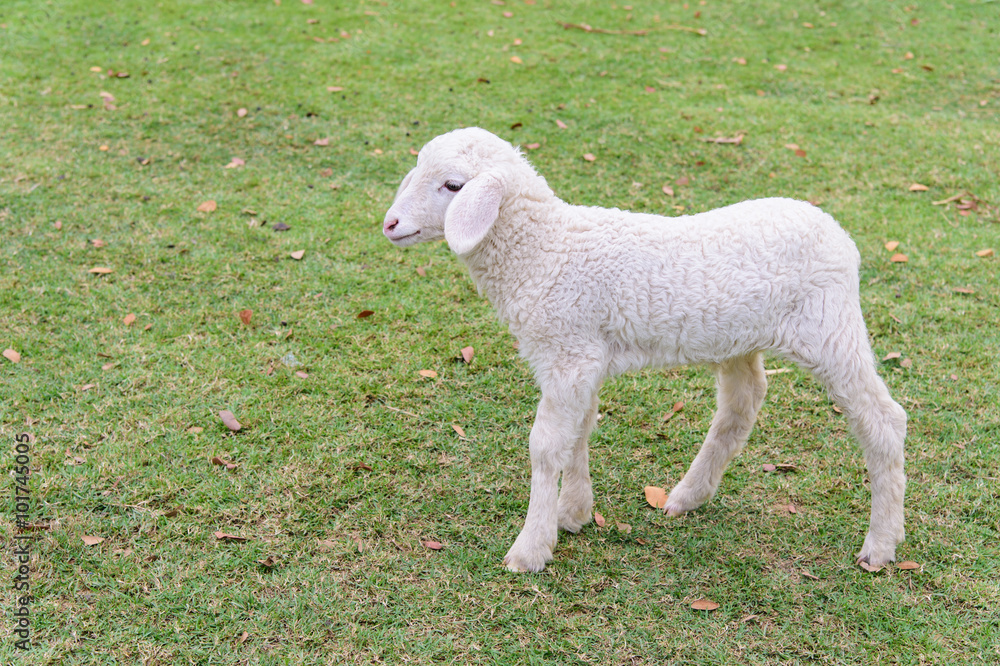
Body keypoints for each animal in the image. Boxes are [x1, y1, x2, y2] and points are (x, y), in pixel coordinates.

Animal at [383, 127, 906, 573]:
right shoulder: (583, 357)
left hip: (831, 329)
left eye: (452, 185)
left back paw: (881, 544)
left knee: (884, 420)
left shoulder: (567, 353)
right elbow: (579, 432)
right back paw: (688, 496)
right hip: (740, 338)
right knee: (742, 405)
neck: (543, 249)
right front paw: (573, 512)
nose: (390, 224)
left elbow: (546, 446)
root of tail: (838, 232)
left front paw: (530, 548)